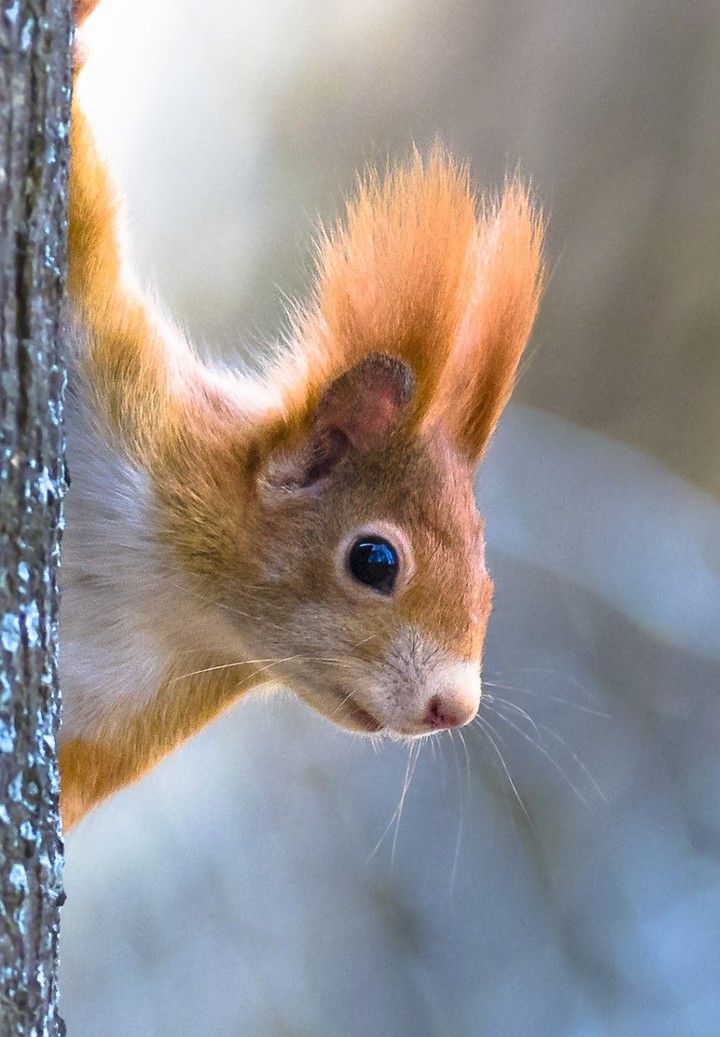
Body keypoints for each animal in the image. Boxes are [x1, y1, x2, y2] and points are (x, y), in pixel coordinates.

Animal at [60, 0, 545, 829]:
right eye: (374, 560)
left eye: (489, 589)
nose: (455, 706)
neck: (178, 594)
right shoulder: (110, 350)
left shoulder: (105, 736)